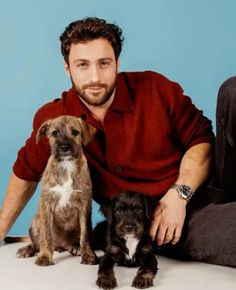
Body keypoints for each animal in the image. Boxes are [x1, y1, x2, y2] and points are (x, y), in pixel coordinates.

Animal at [16, 114, 97, 266]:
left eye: (75, 132)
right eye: (54, 133)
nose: (64, 147)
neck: (66, 165)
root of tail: (61, 245)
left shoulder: (84, 205)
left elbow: (85, 235)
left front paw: (88, 254)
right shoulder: (47, 204)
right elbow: (46, 235)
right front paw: (45, 256)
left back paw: (76, 247)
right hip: (35, 222)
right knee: (36, 243)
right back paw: (27, 249)